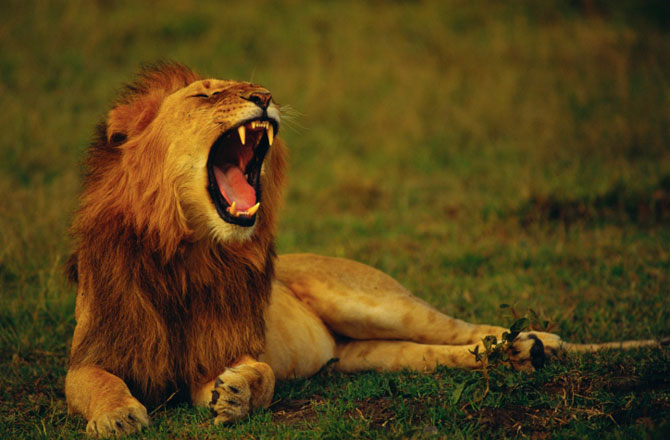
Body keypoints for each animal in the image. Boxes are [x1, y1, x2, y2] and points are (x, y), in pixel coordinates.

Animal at [65, 63, 663, 437]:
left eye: (252, 86)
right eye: (205, 93)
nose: (265, 97)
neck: (189, 251)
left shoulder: (225, 353)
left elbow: (260, 375)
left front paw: (236, 397)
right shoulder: (94, 349)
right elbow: (93, 381)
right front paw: (117, 417)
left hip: (375, 302)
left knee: (464, 327)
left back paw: (536, 343)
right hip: (371, 355)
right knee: (445, 353)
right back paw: (519, 355)